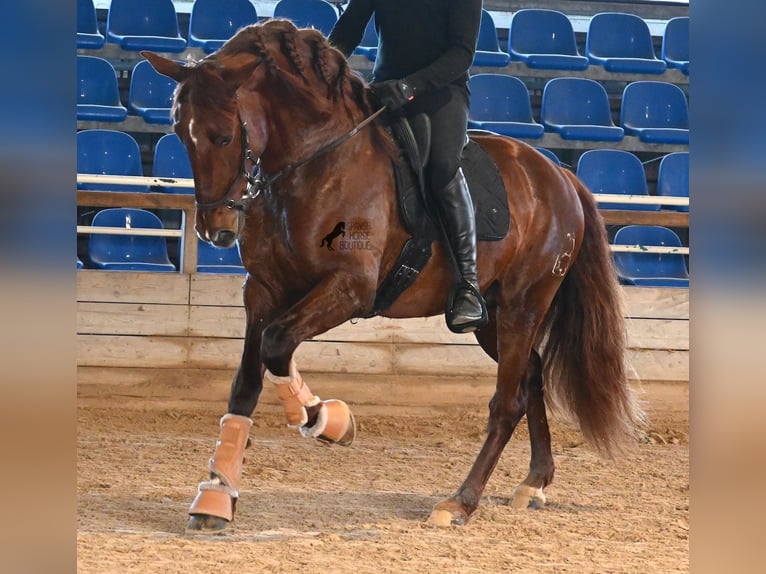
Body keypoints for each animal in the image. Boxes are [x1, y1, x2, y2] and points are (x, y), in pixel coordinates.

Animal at [142, 21, 640, 536]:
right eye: (180, 133)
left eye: (222, 137)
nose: (215, 229)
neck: (314, 161)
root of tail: (559, 174)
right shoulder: (263, 291)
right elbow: (247, 381)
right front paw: (216, 495)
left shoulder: (348, 289)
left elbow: (277, 345)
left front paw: (329, 421)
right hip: (493, 315)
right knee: (532, 375)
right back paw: (534, 483)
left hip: (525, 303)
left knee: (507, 401)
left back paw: (460, 502)